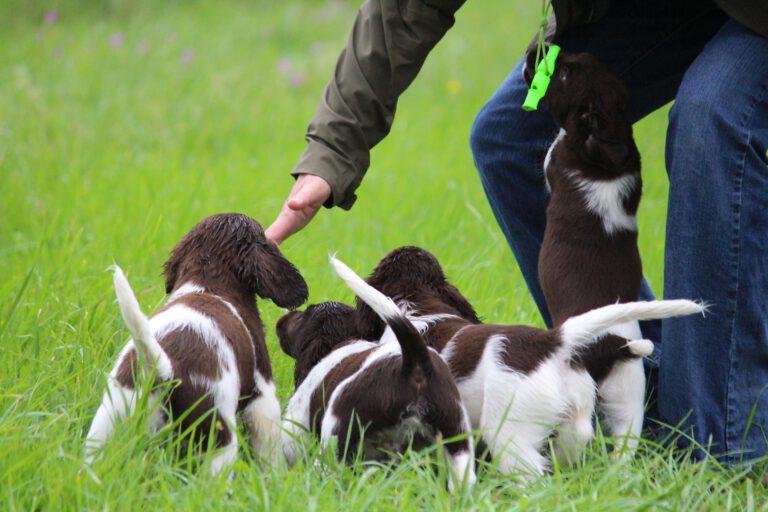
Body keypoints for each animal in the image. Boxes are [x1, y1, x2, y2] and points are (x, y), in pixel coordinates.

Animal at [280, 256, 476, 492]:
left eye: (302, 318)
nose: (282, 318)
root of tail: (415, 363)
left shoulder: (295, 427)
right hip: (456, 439)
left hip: (336, 439)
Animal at [520, 50, 648, 454]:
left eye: (562, 75)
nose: (531, 54)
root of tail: (614, 345)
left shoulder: (554, 158)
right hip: (628, 392)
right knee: (624, 445)